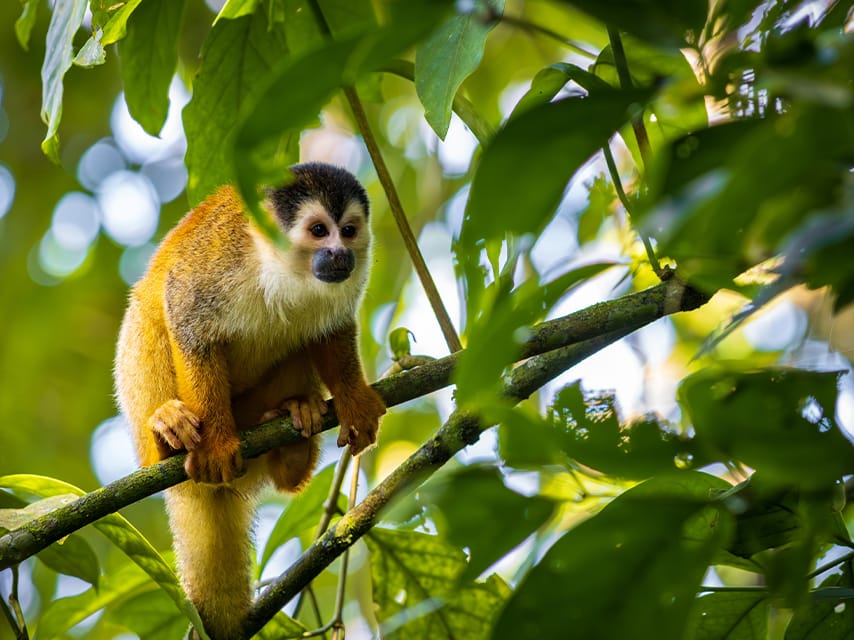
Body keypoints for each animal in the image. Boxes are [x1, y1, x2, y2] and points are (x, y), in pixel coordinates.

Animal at [114, 162, 386, 640]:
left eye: (349, 231)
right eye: (320, 230)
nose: (340, 254)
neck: (280, 269)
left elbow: (331, 330)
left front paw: (353, 400)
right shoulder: (215, 263)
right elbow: (187, 322)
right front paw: (216, 443)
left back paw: (292, 440)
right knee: (147, 312)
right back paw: (166, 439)